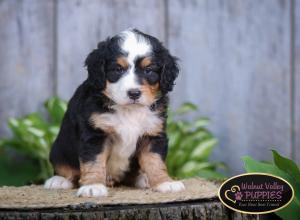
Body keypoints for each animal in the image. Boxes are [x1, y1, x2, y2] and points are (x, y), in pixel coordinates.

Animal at [43, 28, 184, 197]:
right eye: (118, 69)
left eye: (148, 70)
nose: (134, 93)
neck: (129, 111)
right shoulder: (95, 134)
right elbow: (93, 162)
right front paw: (93, 186)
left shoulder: (153, 133)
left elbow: (155, 161)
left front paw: (164, 182)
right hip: (59, 149)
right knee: (65, 168)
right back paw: (59, 180)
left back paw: (143, 179)